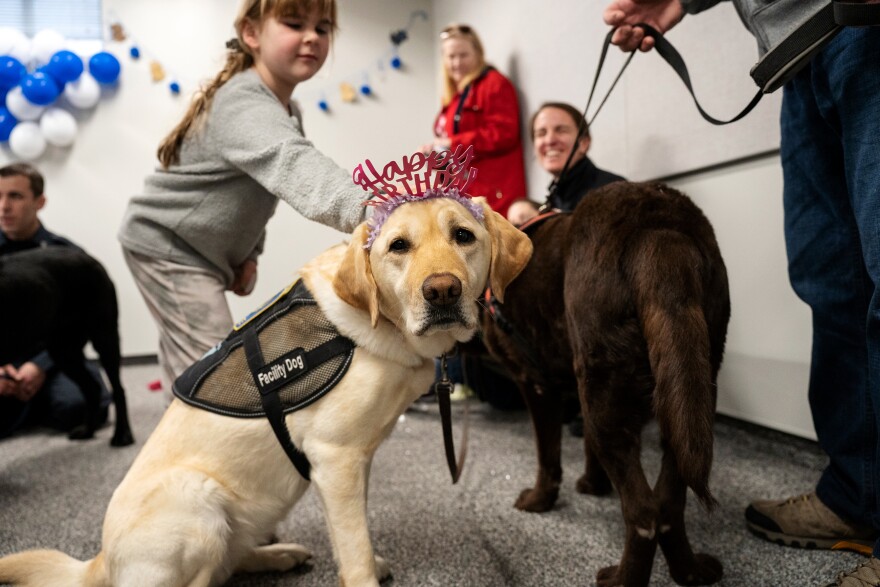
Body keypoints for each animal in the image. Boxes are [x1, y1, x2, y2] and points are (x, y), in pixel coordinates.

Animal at [0, 247, 134, 446]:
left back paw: (122, 434)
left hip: (104, 336)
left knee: (118, 389)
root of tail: (86, 256)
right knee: (92, 388)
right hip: (64, 351)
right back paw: (87, 430)